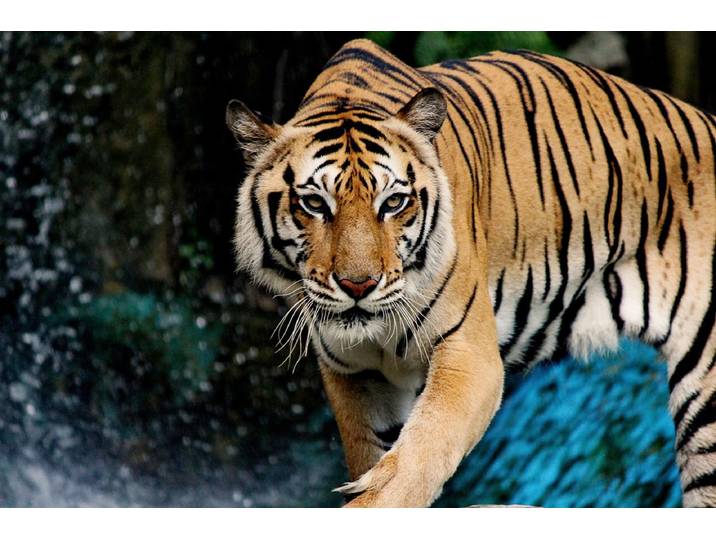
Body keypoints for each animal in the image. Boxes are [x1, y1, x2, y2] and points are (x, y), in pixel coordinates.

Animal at [225, 38, 716, 507]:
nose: (358, 285)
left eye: (394, 202)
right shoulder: (355, 375)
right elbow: (374, 453)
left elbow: (417, 457)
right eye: (314, 204)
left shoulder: (470, 354)